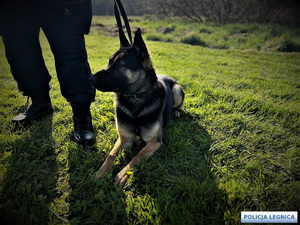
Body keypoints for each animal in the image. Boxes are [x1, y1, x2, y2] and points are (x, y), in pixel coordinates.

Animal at [89, 28, 184, 186]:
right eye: (109, 62)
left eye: (119, 65)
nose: (90, 79)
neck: (135, 98)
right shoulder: (124, 138)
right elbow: (111, 155)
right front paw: (101, 172)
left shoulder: (154, 142)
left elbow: (137, 156)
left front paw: (124, 173)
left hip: (177, 91)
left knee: (178, 106)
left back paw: (176, 112)